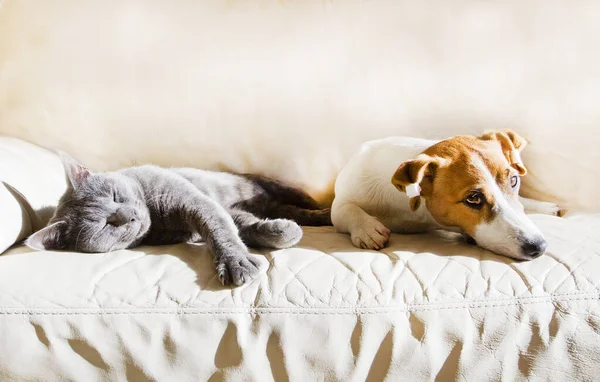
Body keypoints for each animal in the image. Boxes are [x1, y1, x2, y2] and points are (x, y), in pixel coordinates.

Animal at [25, 151, 330, 284]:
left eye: (114, 195)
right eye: (104, 225)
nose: (129, 215)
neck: (157, 220)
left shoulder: (197, 202)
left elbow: (220, 230)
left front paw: (237, 263)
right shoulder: (228, 211)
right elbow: (242, 226)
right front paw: (280, 233)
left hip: (285, 188)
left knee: (306, 204)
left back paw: (328, 214)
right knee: (288, 210)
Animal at [330, 130, 560, 262]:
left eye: (514, 180)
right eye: (473, 198)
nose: (539, 247)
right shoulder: (342, 200)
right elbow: (345, 209)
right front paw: (368, 229)